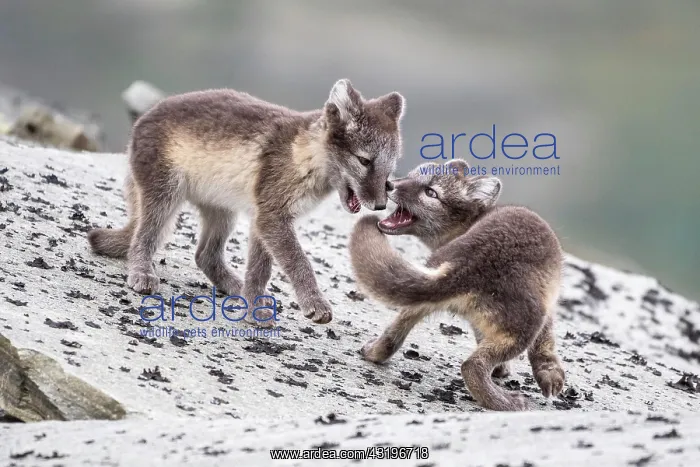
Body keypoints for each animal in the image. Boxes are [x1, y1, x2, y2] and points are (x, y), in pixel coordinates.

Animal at [87, 79, 405, 325]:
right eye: (364, 161)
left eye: (389, 171)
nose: (380, 205)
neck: (303, 155)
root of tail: (140, 122)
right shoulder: (271, 216)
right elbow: (299, 262)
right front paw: (314, 304)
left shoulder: (261, 218)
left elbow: (258, 271)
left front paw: (254, 308)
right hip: (164, 197)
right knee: (142, 238)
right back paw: (142, 274)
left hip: (223, 213)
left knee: (204, 255)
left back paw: (235, 288)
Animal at [348, 159, 565, 411]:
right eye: (411, 175)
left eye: (431, 192)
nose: (389, 184)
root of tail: (465, 263)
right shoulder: (548, 307)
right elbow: (545, 343)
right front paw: (550, 376)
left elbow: (482, 336)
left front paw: (501, 370)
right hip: (524, 326)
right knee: (471, 366)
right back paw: (508, 403)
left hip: (418, 302)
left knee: (392, 337)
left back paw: (371, 352)